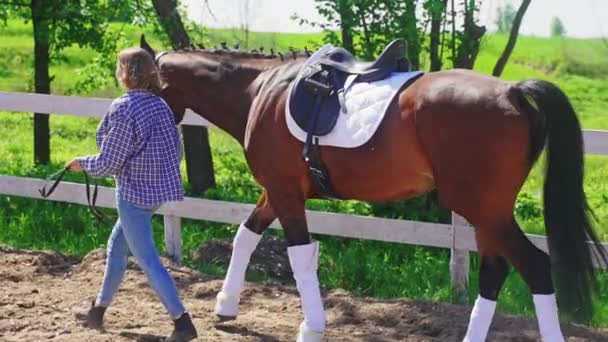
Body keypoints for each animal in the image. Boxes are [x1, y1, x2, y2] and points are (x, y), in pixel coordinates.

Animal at [139, 38, 608, 342]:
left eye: (141, 83)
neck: (261, 90)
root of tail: (512, 90)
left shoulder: (286, 194)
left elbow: (299, 257)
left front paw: (312, 327)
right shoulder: (276, 192)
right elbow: (245, 237)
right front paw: (225, 305)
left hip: (483, 209)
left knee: (534, 266)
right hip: (486, 213)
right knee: (495, 270)